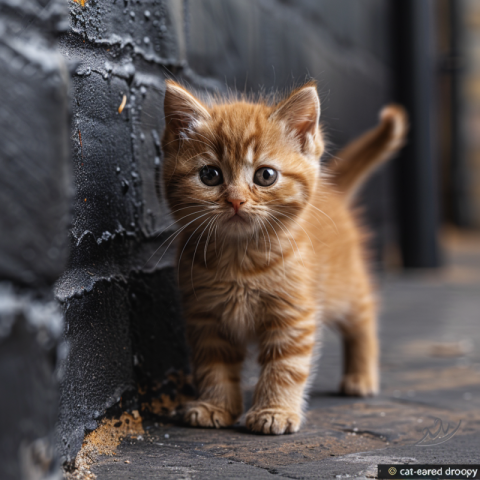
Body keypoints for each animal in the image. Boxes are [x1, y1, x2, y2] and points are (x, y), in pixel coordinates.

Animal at [160, 79, 404, 436]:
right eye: (210, 175)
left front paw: (275, 411)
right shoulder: (205, 317)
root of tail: (334, 192)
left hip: (345, 287)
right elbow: (213, 365)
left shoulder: (293, 314)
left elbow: (285, 366)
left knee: (364, 318)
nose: (235, 200)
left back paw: (361, 375)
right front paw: (215, 406)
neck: (239, 260)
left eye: (265, 176)